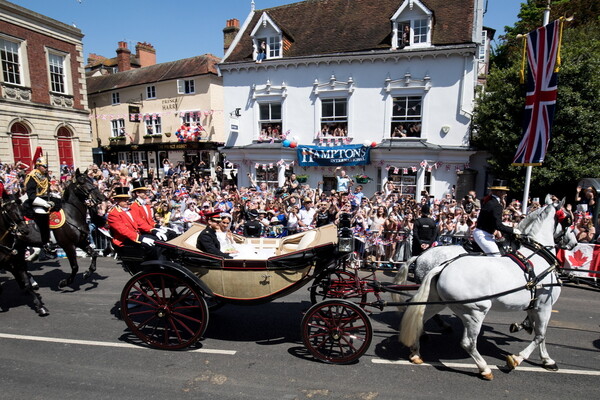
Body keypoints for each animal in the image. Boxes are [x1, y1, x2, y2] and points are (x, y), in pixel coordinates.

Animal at [398, 198, 576, 380]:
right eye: (568, 219)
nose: (573, 243)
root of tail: (441, 266)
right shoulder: (544, 306)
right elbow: (540, 335)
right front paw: (517, 359)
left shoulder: (535, 306)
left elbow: (540, 333)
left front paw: (546, 358)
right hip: (476, 311)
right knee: (468, 343)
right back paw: (484, 368)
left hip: (436, 302)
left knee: (419, 318)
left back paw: (417, 351)